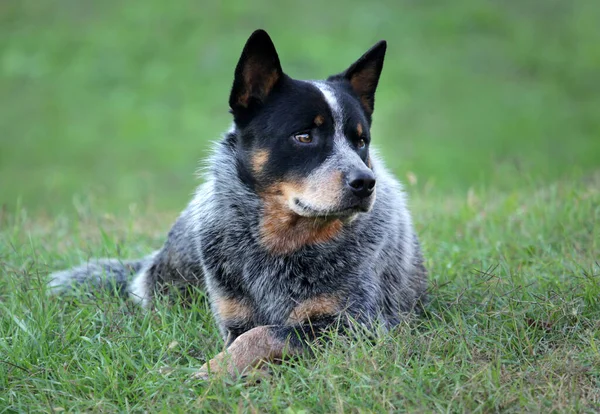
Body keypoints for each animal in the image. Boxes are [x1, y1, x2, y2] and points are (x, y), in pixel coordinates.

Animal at [49, 28, 428, 378]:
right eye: (304, 136)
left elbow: (262, 335)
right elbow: (249, 335)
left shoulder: (353, 326)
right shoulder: (235, 319)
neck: (279, 247)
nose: (364, 182)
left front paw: (209, 374)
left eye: (360, 141)